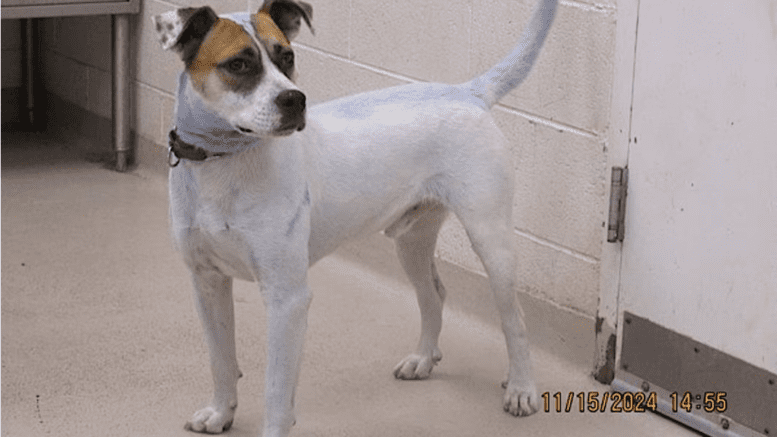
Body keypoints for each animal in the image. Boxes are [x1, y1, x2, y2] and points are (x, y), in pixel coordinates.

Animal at [150, 0, 556, 432]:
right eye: (238, 64)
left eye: (287, 57)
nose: (295, 100)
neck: (220, 163)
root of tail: (467, 92)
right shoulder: (207, 283)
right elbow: (221, 359)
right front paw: (221, 412)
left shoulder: (286, 298)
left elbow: (276, 391)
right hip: (412, 241)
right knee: (434, 294)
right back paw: (423, 359)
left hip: (491, 241)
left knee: (516, 321)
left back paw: (521, 388)